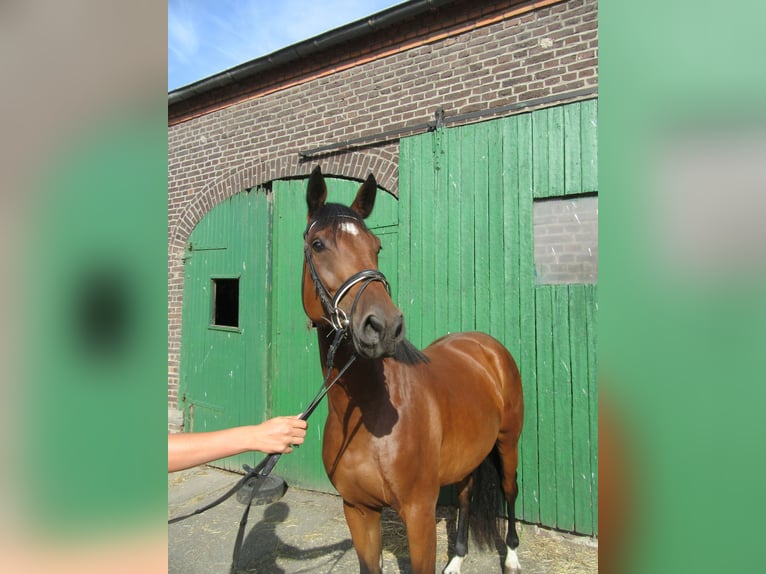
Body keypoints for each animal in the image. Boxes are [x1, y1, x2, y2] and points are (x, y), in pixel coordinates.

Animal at [304, 164, 524, 572]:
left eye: (376, 246)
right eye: (318, 245)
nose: (383, 325)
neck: (369, 415)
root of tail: (486, 346)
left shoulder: (419, 514)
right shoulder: (358, 510)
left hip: (508, 442)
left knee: (510, 490)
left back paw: (513, 556)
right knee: (467, 495)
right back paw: (457, 559)